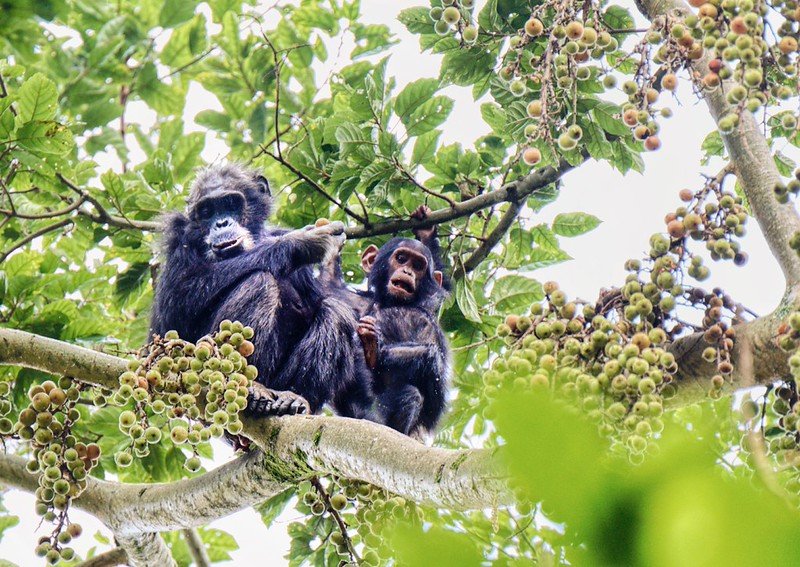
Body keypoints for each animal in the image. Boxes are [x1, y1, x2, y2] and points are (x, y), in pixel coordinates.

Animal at [150, 163, 359, 416]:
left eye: (230, 203)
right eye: (207, 211)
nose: (221, 223)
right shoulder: (178, 238)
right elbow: (176, 304)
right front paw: (300, 243)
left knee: (337, 312)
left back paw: (294, 397)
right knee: (259, 283)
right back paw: (253, 388)